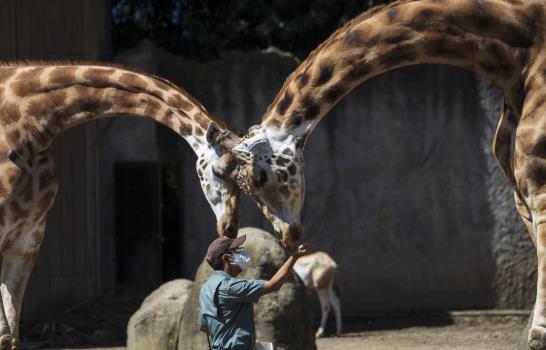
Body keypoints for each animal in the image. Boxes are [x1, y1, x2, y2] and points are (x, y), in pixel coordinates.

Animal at [0, 61, 240, 348]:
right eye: (218, 170)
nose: (230, 227)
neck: (27, 126)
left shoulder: (27, 239)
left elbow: (10, 335)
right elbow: (5, 333)